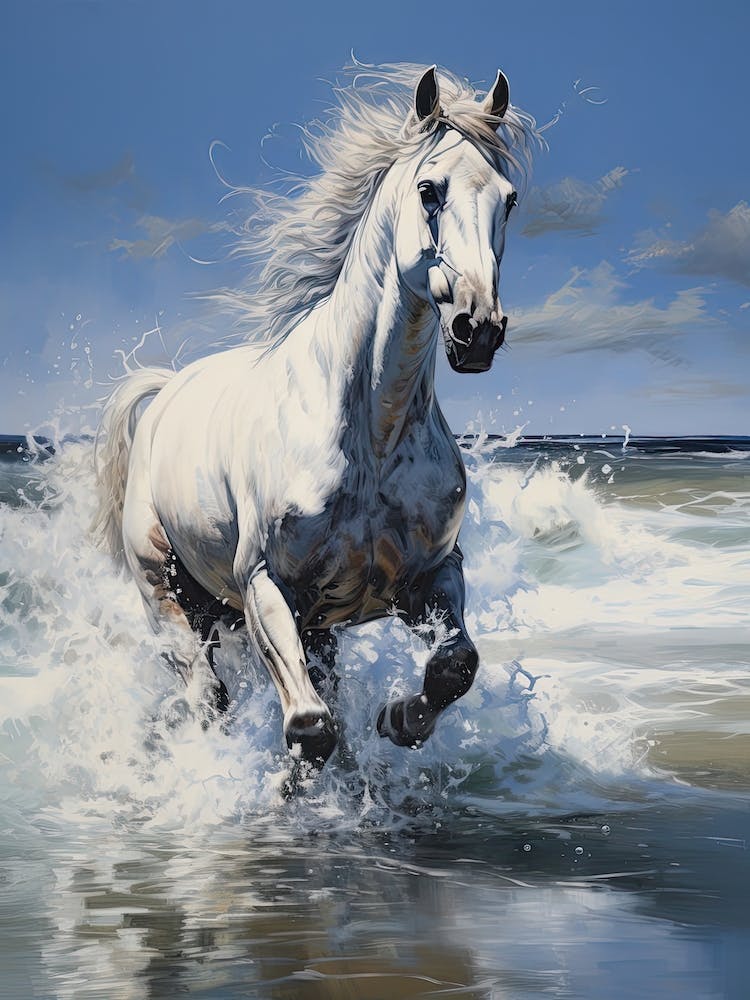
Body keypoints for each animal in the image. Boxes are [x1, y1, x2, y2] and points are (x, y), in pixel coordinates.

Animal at [93, 63, 538, 772]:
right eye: (429, 190)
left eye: (510, 199)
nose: (479, 330)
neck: (371, 438)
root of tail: (165, 392)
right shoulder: (267, 586)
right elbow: (310, 727)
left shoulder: (430, 576)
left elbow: (455, 667)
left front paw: (398, 720)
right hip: (170, 597)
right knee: (208, 695)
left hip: (313, 625)